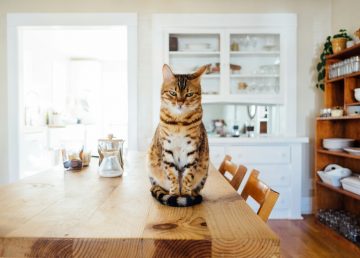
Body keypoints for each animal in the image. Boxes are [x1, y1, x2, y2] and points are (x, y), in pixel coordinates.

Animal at [146, 64, 208, 208]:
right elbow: (172, 175)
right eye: (173, 93)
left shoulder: (192, 150)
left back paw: (193, 194)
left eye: (189, 94)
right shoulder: (167, 149)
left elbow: (188, 176)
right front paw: (174, 195)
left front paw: (185, 195)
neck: (179, 122)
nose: (180, 103)